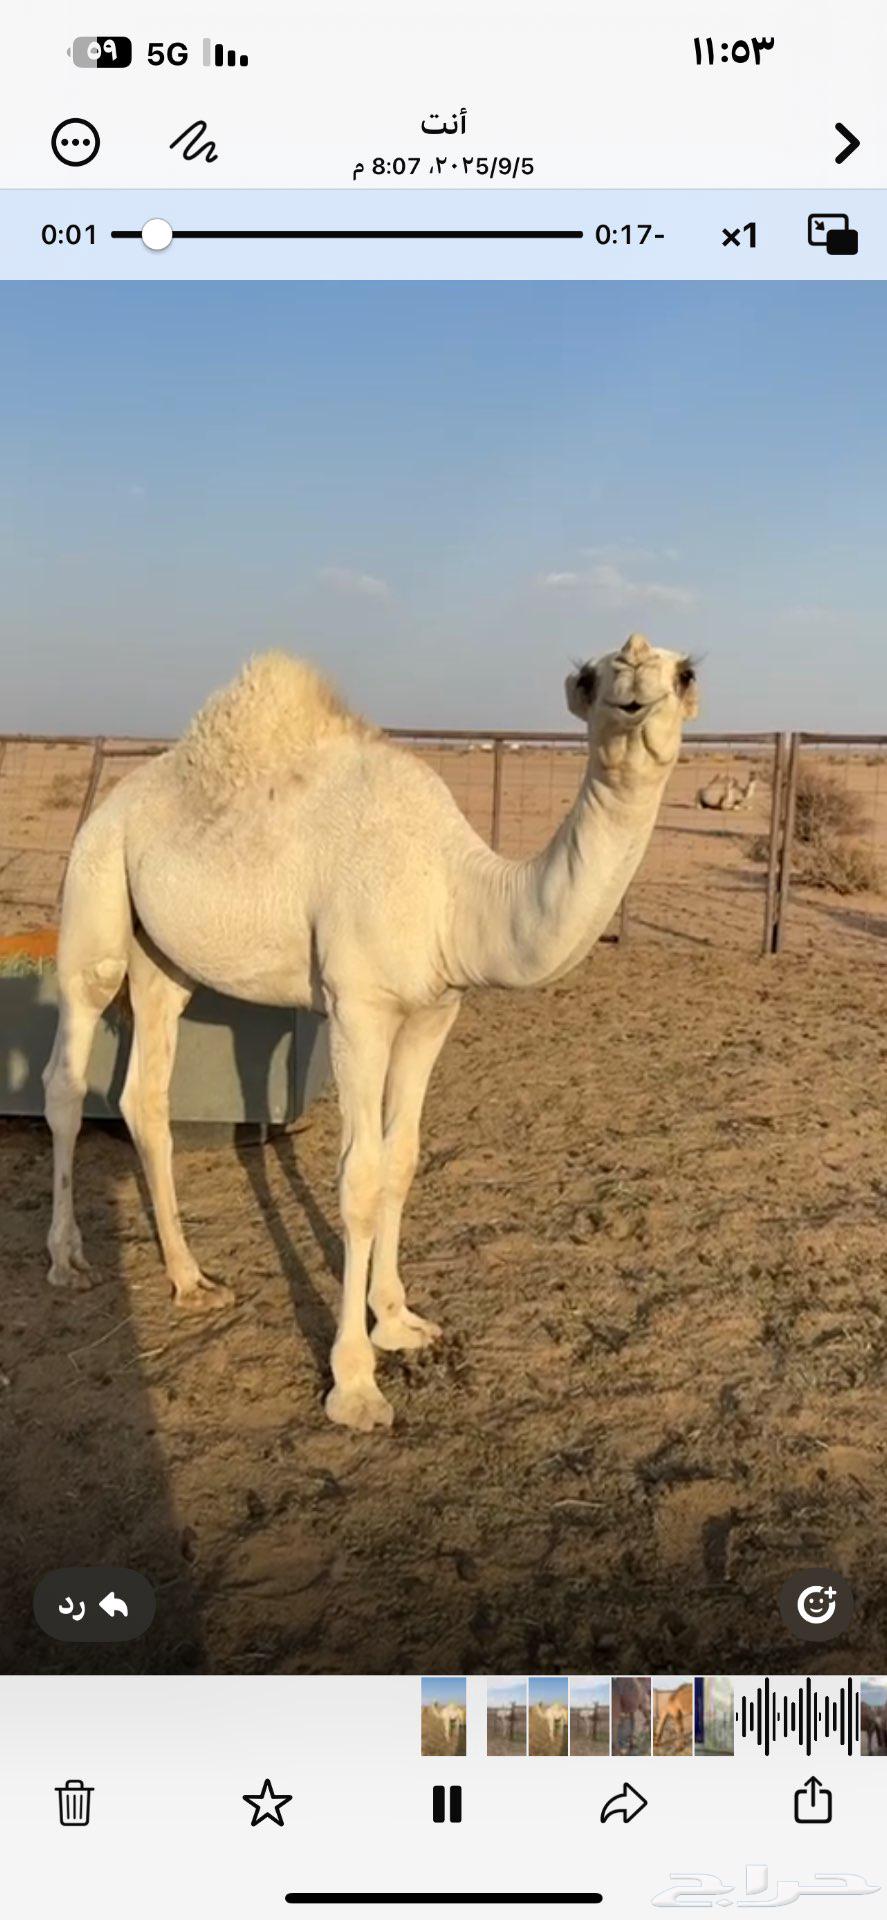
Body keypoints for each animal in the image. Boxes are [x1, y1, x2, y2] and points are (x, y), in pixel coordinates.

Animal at [44, 632, 698, 1432]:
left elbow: (402, 1160)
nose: (636, 687)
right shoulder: (356, 1006)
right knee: (68, 1074)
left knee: (146, 1095)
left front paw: (398, 1320)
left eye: (684, 673)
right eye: (589, 677)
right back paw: (67, 1261)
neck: (454, 895)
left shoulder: (432, 1012)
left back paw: (190, 1278)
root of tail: (112, 802)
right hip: (94, 889)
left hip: (164, 956)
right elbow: (358, 1176)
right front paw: (353, 1384)